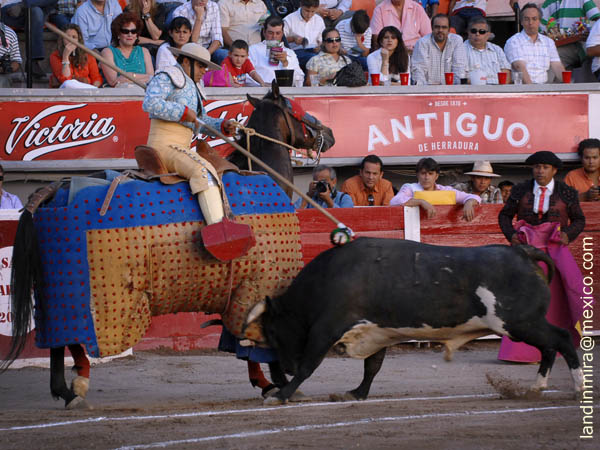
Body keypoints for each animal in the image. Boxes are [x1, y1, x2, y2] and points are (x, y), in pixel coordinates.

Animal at [2, 83, 332, 408]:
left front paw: (265, 384)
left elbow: (242, 343)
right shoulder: (259, 286)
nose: (329, 133)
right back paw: (75, 387)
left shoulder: (239, 290)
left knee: (56, 341)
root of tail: (55, 188)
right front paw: (282, 384)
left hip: (54, 295)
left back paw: (69, 389)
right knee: (71, 339)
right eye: (296, 108)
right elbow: (260, 343)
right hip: (89, 298)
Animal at [246, 237, 584, 402]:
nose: (284, 367)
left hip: (519, 323)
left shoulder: (325, 329)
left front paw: (281, 396)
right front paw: (356, 393)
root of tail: (522, 252)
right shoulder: (378, 331)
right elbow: (372, 367)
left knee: (562, 339)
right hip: (524, 325)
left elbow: (310, 365)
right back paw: (536, 388)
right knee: (550, 346)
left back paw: (578, 388)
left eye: (273, 330)